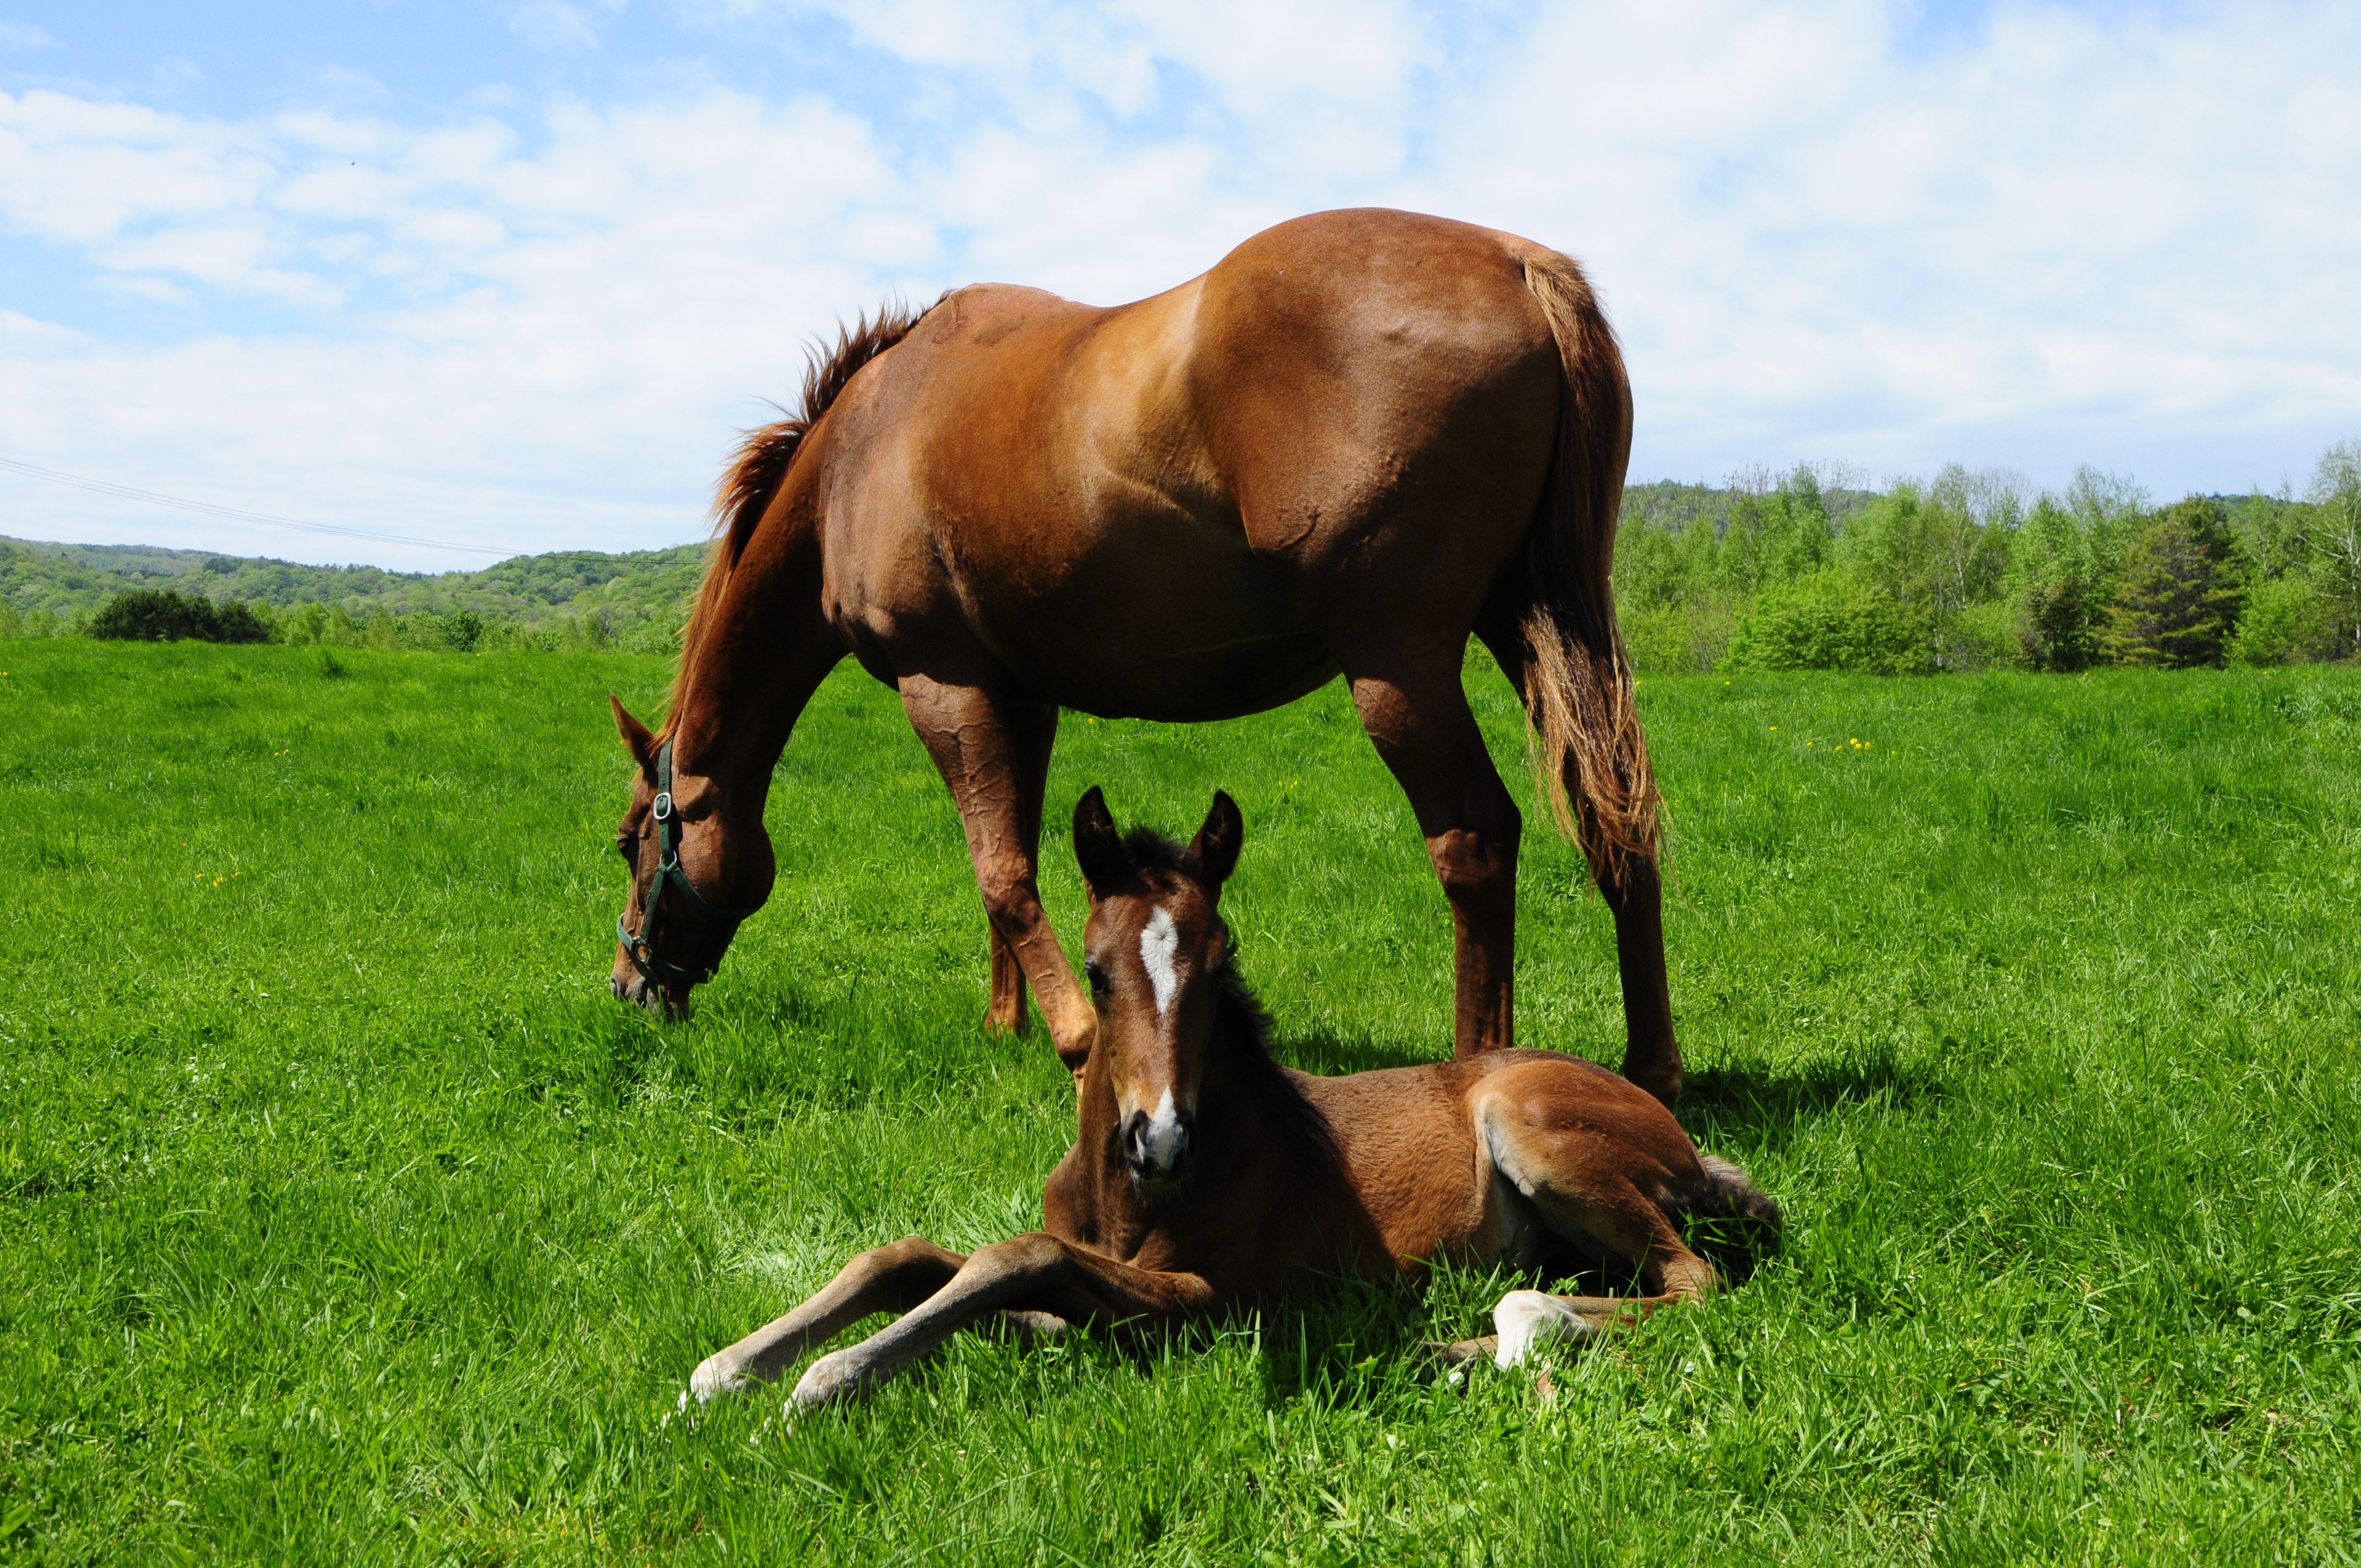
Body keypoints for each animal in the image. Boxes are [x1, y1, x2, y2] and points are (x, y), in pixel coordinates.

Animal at [609, 205, 1681, 1100]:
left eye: (630, 841)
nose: (628, 981)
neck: (862, 446)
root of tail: (1519, 265)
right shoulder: (1020, 696)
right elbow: (1011, 859)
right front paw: (1005, 1025)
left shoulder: (940, 683)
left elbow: (1000, 871)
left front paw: (1081, 1042)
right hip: (1538, 632)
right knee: (1617, 815)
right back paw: (1652, 1068)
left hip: (1400, 668)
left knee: (1476, 841)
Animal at [689, 788, 1775, 1417]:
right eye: (1095, 970)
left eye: (1220, 969)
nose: (1161, 1140)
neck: (1123, 1197)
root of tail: (1682, 1137)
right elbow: (918, 1260)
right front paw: (732, 1367)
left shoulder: (1211, 1301)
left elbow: (1018, 1258)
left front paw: (828, 1378)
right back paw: (1444, 1347)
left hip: (1531, 1125)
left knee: (1691, 1282)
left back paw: (1516, 1326)